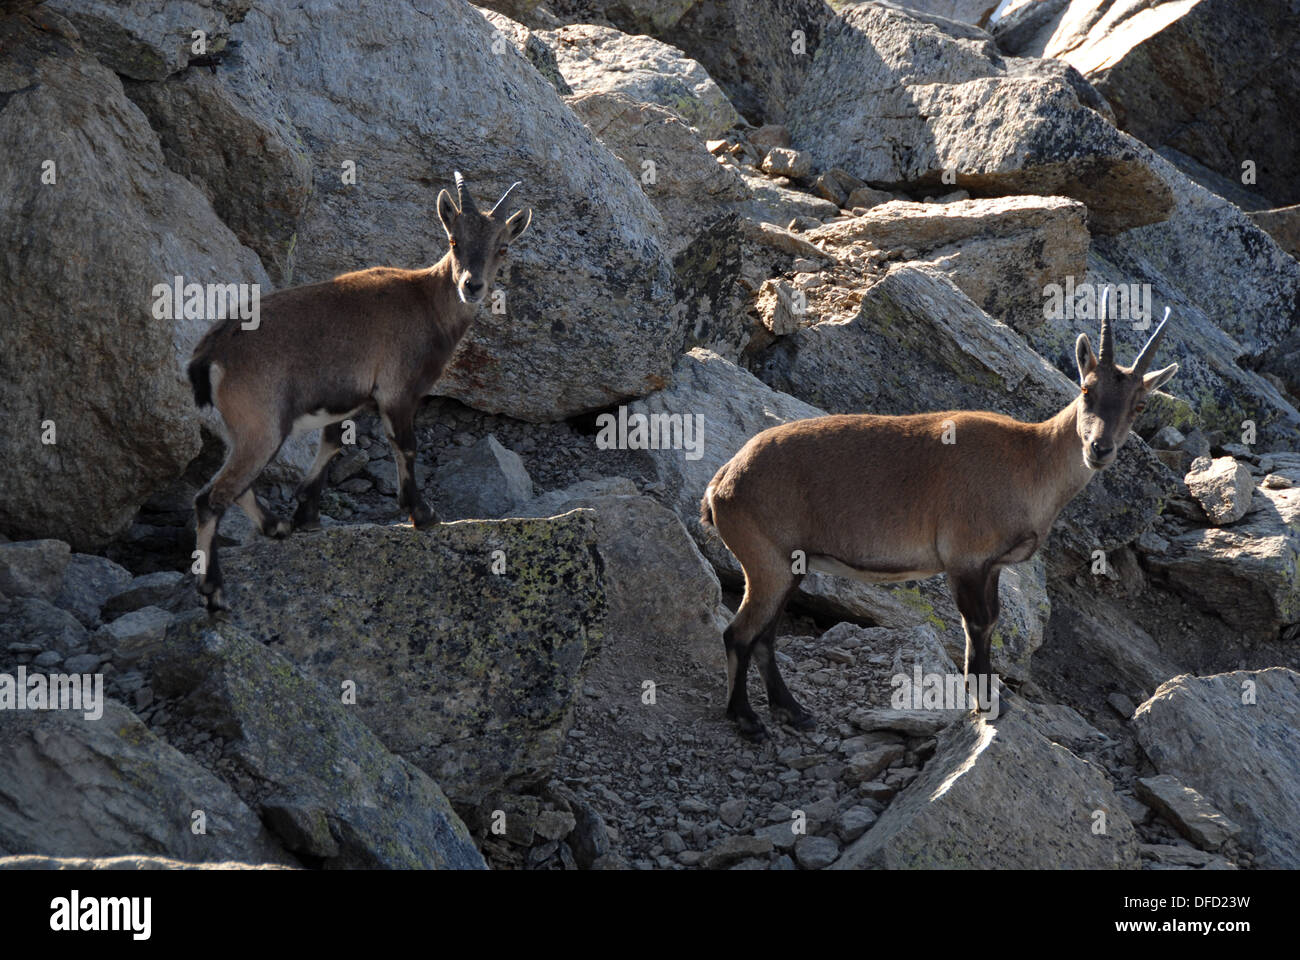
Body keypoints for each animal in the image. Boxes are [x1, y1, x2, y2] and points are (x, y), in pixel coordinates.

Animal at [186, 173, 532, 612]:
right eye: (454, 240)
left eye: (502, 247)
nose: (472, 286)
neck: (426, 304)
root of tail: (211, 351)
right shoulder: (398, 391)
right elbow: (406, 447)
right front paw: (422, 513)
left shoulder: (349, 399)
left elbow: (333, 443)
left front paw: (306, 513)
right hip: (261, 426)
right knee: (210, 497)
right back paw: (213, 591)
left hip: (245, 430)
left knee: (235, 485)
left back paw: (275, 526)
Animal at [700, 303, 1179, 740]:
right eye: (1085, 389)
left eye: (1139, 405)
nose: (1099, 449)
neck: (1028, 460)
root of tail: (722, 481)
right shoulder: (963, 560)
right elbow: (978, 625)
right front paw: (984, 704)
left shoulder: (991, 567)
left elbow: (991, 621)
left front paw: (989, 700)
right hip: (767, 562)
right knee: (738, 634)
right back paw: (747, 720)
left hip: (789, 568)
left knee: (764, 637)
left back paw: (793, 711)